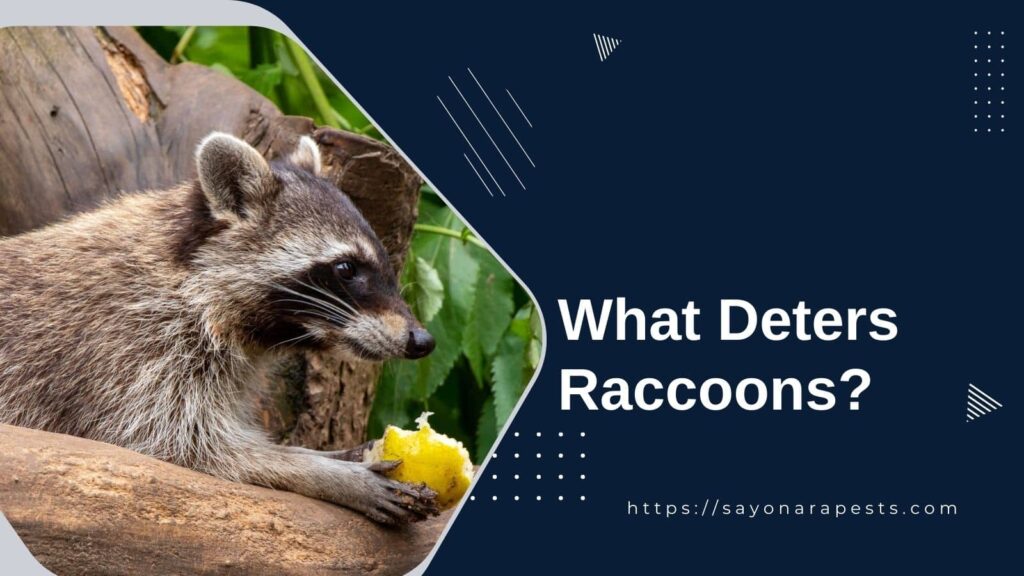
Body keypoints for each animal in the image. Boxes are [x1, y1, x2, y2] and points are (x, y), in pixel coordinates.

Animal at [0, 133, 438, 524]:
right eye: (346, 268)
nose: (422, 340)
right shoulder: (125, 347)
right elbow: (181, 444)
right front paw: (319, 471)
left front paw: (326, 456)